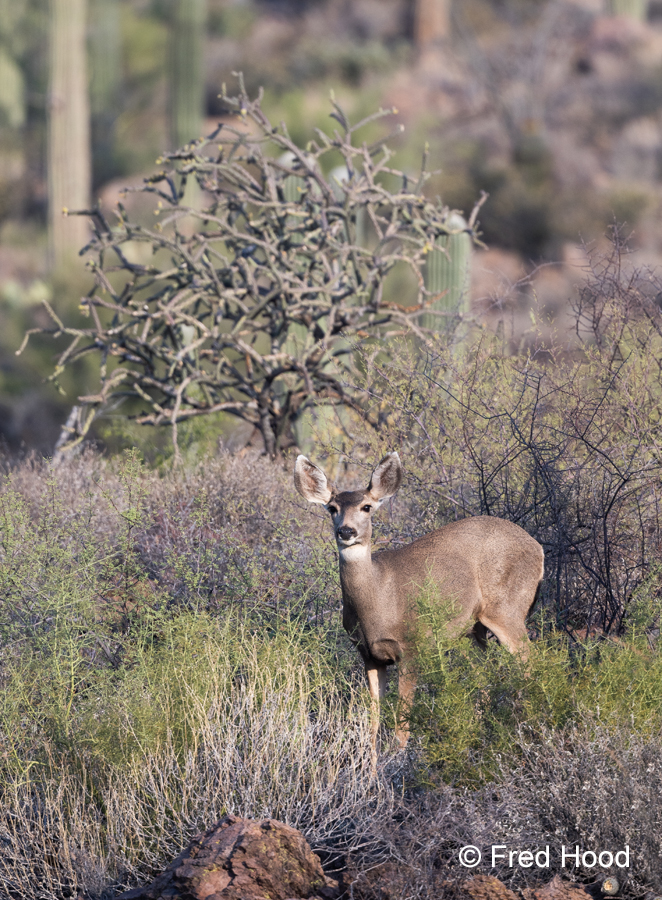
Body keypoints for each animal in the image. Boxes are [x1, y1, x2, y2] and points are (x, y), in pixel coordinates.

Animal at [294, 451, 544, 770]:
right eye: (332, 508)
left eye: (367, 507)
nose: (346, 531)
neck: (378, 599)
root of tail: (538, 548)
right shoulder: (369, 655)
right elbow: (374, 720)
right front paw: (371, 772)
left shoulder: (411, 646)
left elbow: (402, 721)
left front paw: (398, 765)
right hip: (472, 631)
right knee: (485, 672)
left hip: (506, 609)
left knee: (530, 662)